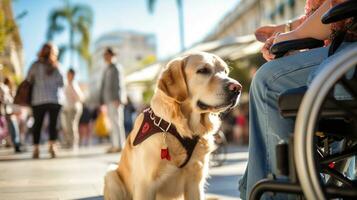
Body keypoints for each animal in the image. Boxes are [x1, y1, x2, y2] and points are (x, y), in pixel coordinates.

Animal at [103, 52, 242, 200]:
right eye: (203, 70)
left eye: (225, 71)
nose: (237, 88)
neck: (180, 128)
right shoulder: (145, 185)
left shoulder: (195, 183)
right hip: (111, 174)